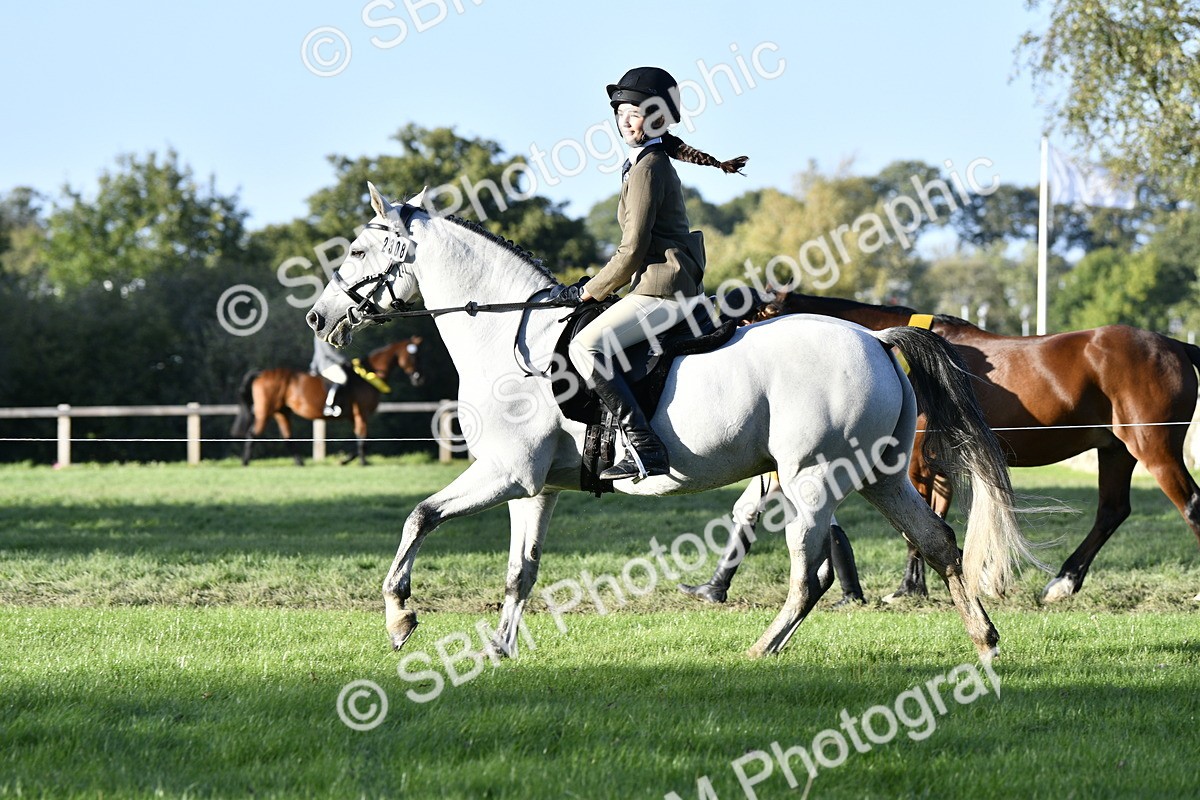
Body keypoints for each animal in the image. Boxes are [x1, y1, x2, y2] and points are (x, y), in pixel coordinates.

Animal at [230, 338, 425, 466]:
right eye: (412, 356)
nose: (418, 379)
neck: (367, 377)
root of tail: (261, 373)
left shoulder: (354, 415)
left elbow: (360, 437)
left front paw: (346, 460)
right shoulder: (361, 412)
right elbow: (364, 437)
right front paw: (362, 462)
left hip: (281, 412)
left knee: (287, 438)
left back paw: (300, 463)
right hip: (266, 410)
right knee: (253, 434)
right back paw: (245, 463)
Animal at [304, 182, 1041, 660]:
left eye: (359, 252)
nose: (317, 316)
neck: (511, 339)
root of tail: (878, 340)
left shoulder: (505, 473)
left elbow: (419, 517)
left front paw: (400, 618)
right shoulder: (534, 487)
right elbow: (521, 572)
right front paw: (498, 652)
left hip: (813, 477)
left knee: (812, 576)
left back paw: (761, 650)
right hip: (878, 474)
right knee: (939, 541)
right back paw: (983, 641)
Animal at [685, 292, 1200, 604]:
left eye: (746, 318)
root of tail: (1175, 343)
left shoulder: (913, 462)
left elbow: (919, 526)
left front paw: (908, 587)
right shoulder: (934, 466)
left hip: (1152, 446)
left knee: (1190, 505)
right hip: (1116, 450)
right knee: (1112, 510)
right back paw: (1063, 582)